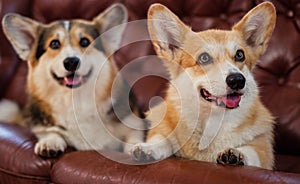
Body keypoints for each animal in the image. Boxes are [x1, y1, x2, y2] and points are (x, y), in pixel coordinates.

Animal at [1, 3, 144, 157]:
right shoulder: (40, 125)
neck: (75, 99)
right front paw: (50, 143)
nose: (71, 62)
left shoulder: (134, 123)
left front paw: (138, 148)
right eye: (54, 44)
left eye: (85, 41)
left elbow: (133, 135)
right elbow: (50, 131)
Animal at [131, 2, 276, 170]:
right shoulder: (163, 130)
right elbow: (163, 140)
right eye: (204, 58)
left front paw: (236, 153)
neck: (212, 121)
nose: (238, 80)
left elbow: (252, 152)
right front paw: (148, 148)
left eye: (240, 55)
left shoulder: (263, 152)